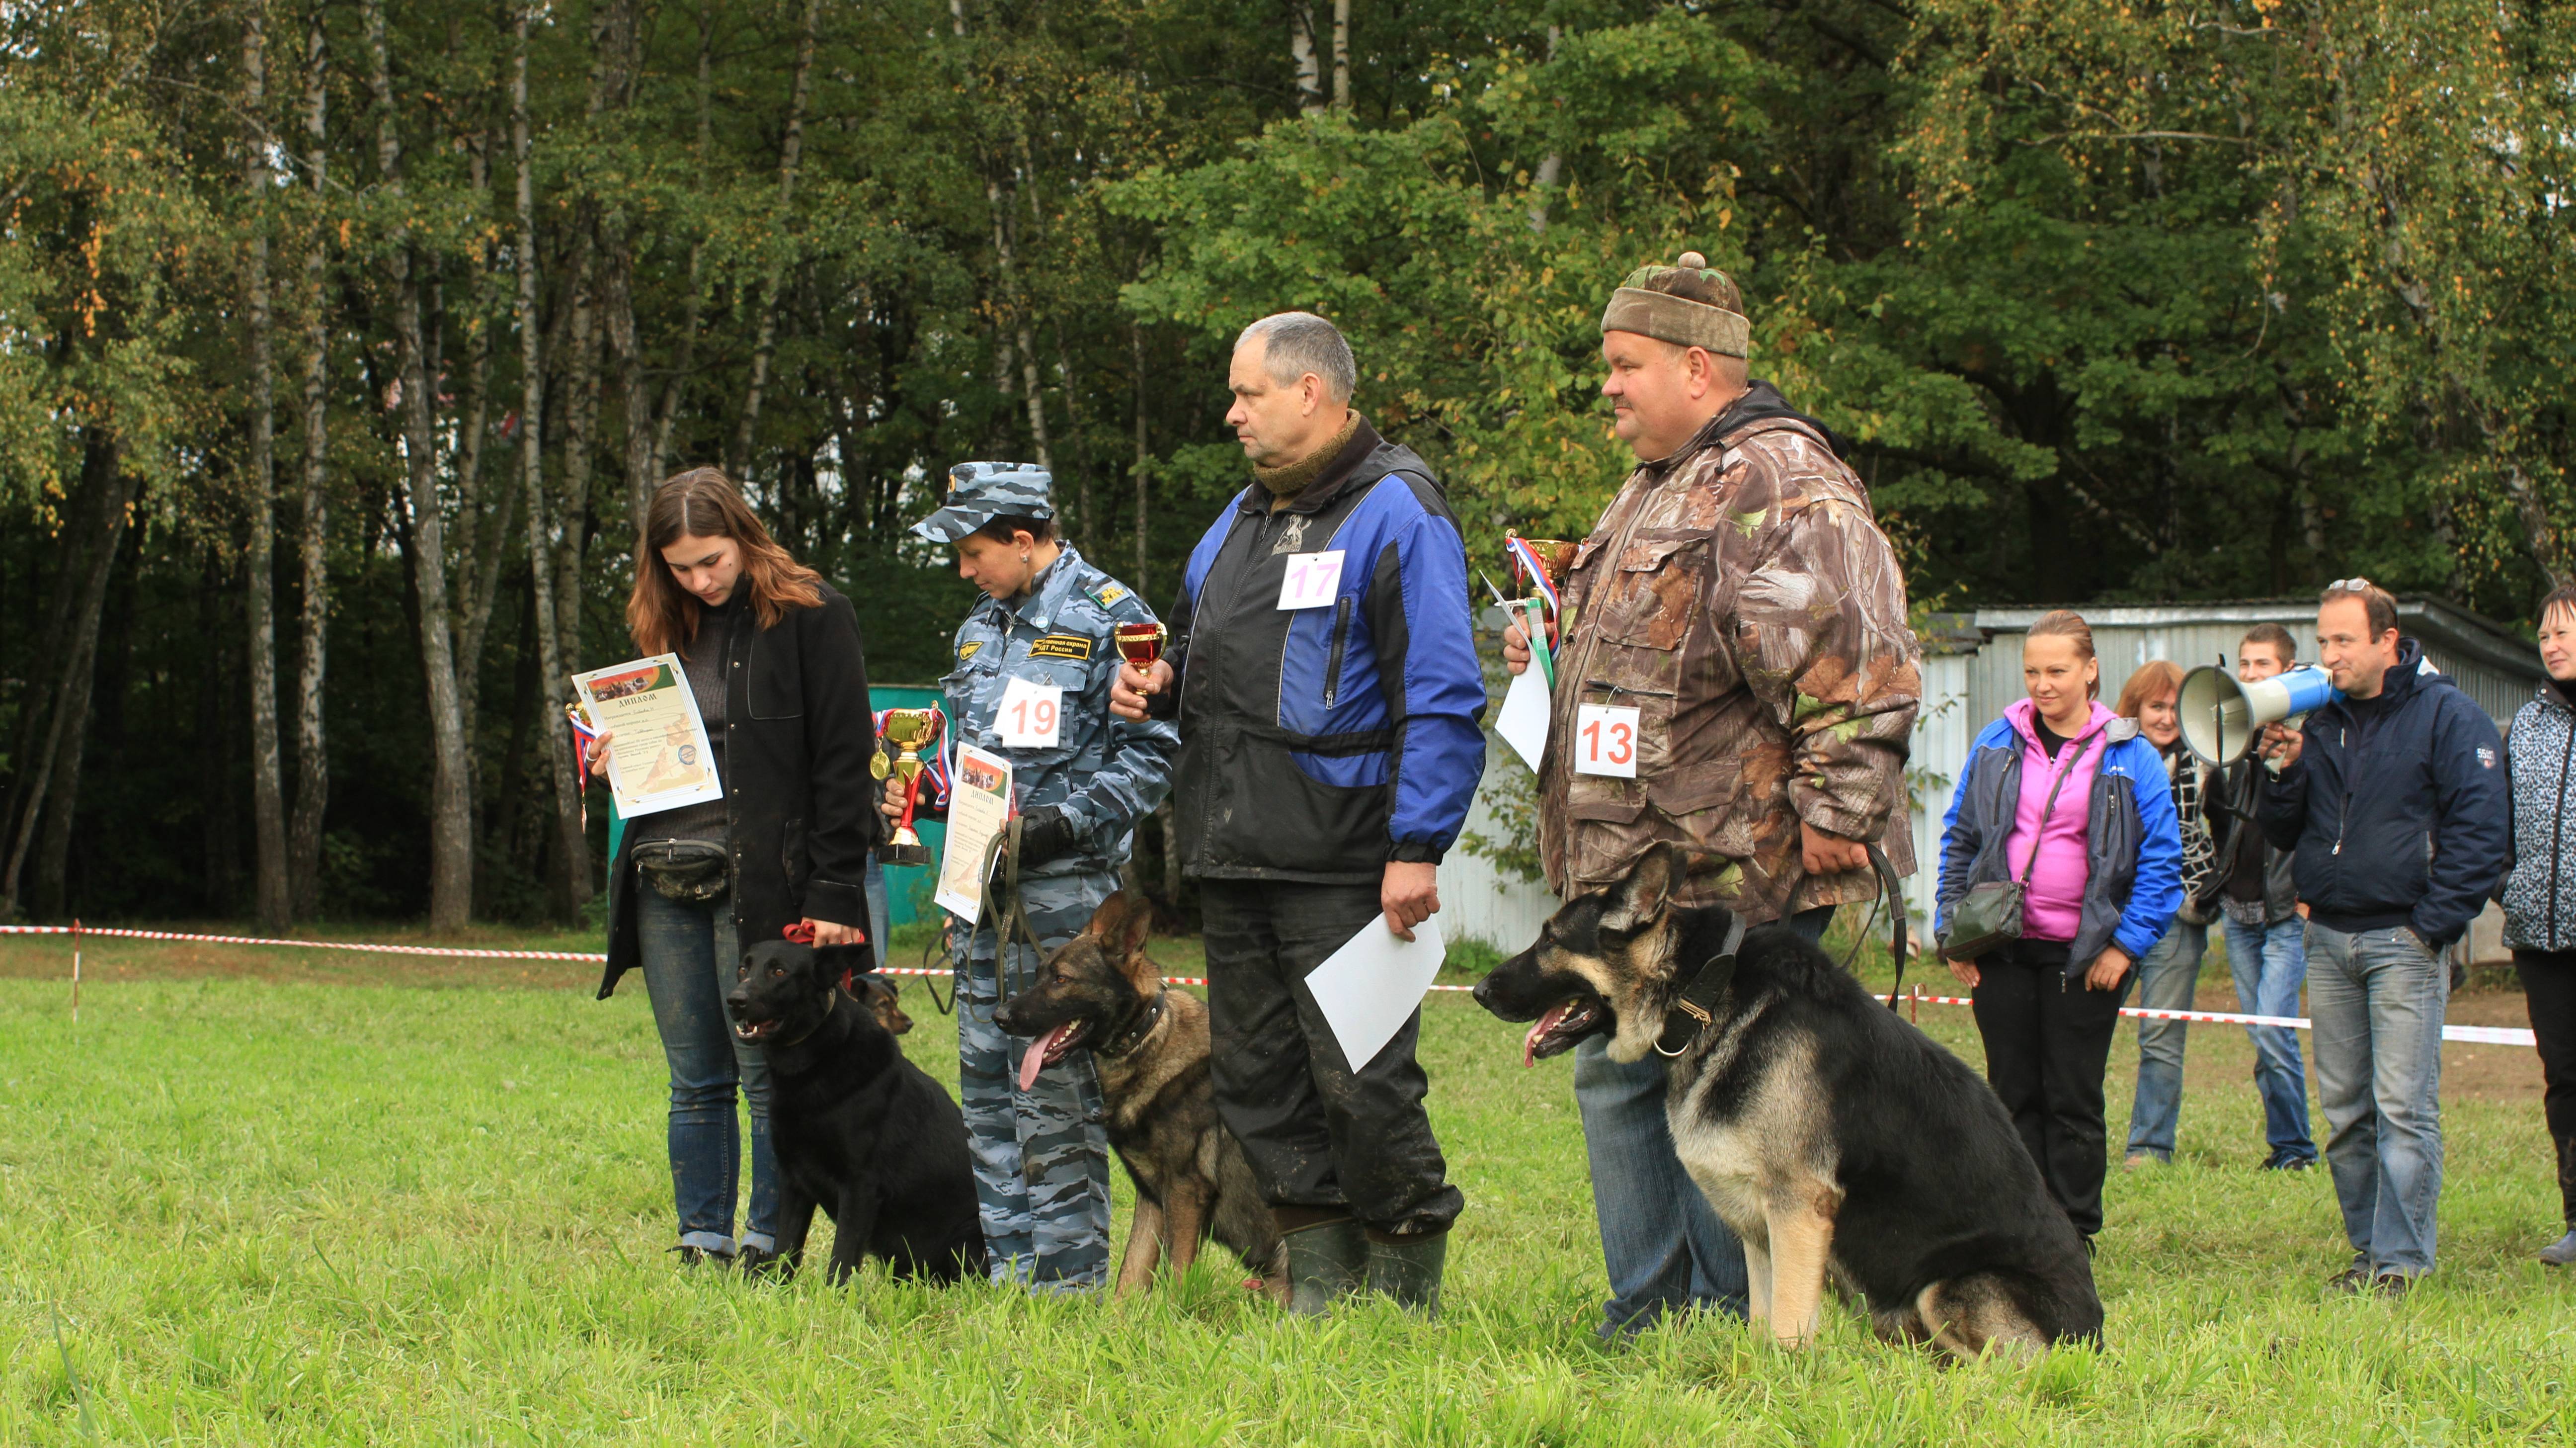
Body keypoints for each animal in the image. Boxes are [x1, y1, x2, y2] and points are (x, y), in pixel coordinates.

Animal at [726, 943, 984, 1278]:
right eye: (743, 969)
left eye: (779, 971)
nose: (734, 1001)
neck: (815, 1065)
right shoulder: (794, 1181)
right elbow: (784, 1249)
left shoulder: (859, 1186)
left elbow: (841, 1260)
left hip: (967, 1238)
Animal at [984, 891, 1288, 1298]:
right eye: (1038, 976)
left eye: (1062, 979)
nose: (999, 1016)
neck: (1144, 1039)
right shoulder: (1153, 1198)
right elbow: (1129, 1277)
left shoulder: (1185, 1192)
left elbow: (1174, 1278)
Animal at [1483, 845, 2102, 1350]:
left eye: (1550, 940)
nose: (1480, 991)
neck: (1707, 989)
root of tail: (2093, 1339)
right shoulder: (1758, 1225)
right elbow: (1761, 1324)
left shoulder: (1798, 1209)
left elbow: (1785, 1327)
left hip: (1949, 1289)